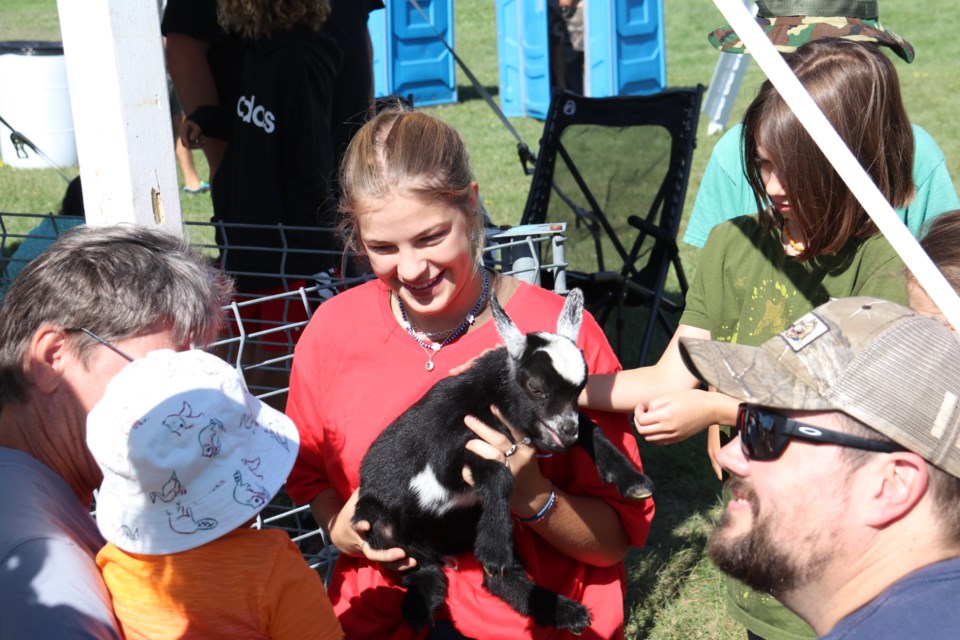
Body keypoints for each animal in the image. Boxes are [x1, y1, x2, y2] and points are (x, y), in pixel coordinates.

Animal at [356, 290, 656, 636]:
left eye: (581, 387)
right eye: (535, 387)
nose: (567, 430)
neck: (494, 397)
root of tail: (444, 550)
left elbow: (592, 429)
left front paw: (631, 480)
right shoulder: (448, 457)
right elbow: (499, 474)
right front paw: (495, 547)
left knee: (490, 577)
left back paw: (564, 611)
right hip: (381, 527)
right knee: (420, 567)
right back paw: (423, 606)